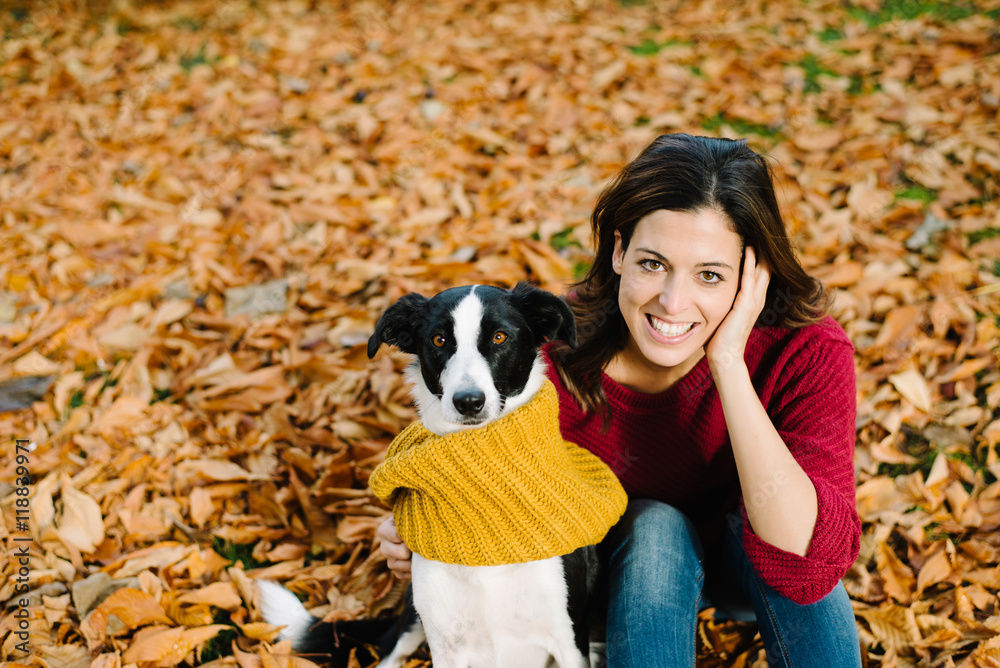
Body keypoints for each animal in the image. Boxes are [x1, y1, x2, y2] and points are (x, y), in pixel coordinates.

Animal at [258, 282, 610, 667]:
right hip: (412, 621)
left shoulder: (569, 640)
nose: (468, 401)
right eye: (439, 340)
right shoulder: (446, 645)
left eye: (500, 337)